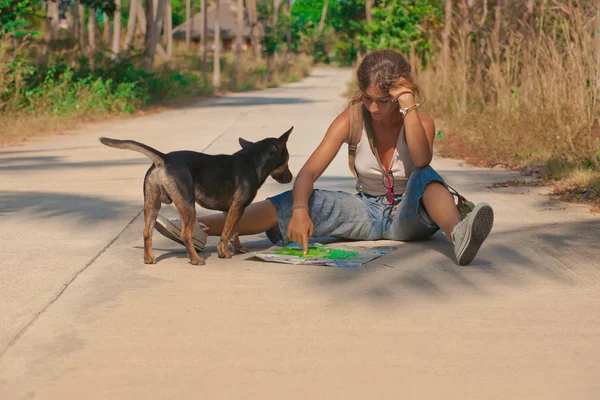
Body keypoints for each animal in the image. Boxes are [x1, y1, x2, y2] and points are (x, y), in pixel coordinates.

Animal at [99, 128, 292, 264]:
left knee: (147, 232)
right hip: (189, 206)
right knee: (185, 234)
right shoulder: (238, 206)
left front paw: (236, 248)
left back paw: (149, 258)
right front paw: (224, 252)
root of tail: (164, 158)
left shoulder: (230, 209)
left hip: (152, 204)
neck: (252, 161)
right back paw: (195, 260)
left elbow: (233, 230)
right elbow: (227, 232)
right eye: (288, 159)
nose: (290, 177)